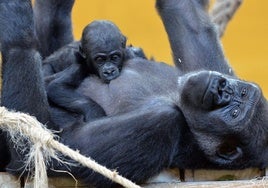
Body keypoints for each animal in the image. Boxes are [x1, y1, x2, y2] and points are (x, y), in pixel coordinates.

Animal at [0, 0, 266, 188]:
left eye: (234, 113)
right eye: (241, 92)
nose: (220, 89)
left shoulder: (165, 124)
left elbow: (42, 151)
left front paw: (17, 31)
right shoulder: (212, 68)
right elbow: (189, 18)